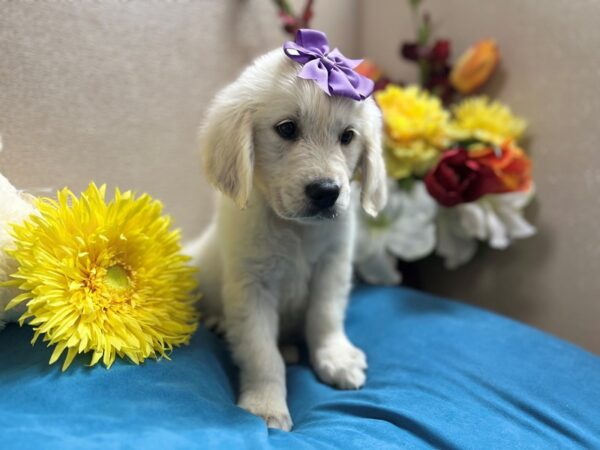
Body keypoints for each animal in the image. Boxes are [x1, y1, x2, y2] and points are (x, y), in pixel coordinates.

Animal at [185, 29, 386, 430]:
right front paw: (265, 405)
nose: (326, 192)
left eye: (348, 136)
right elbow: (262, 352)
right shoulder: (252, 286)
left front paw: (336, 358)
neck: (297, 231)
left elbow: (325, 317)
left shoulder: (332, 268)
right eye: (287, 129)